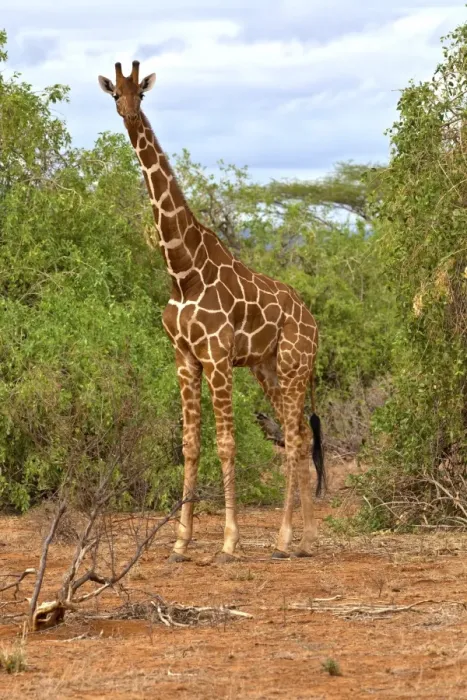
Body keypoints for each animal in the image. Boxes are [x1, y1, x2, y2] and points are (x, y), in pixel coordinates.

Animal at [98, 61, 325, 563]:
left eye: (141, 92)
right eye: (114, 94)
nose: (128, 114)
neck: (182, 269)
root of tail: (313, 320)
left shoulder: (217, 357)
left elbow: (225, 444)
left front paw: (229, 540)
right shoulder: (185, 358)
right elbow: (189, 445)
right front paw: (180, 542)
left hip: (295, 364)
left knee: (295, 437)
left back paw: (290, 537)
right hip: (267, 368)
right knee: (297, 435)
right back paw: (299, 538)